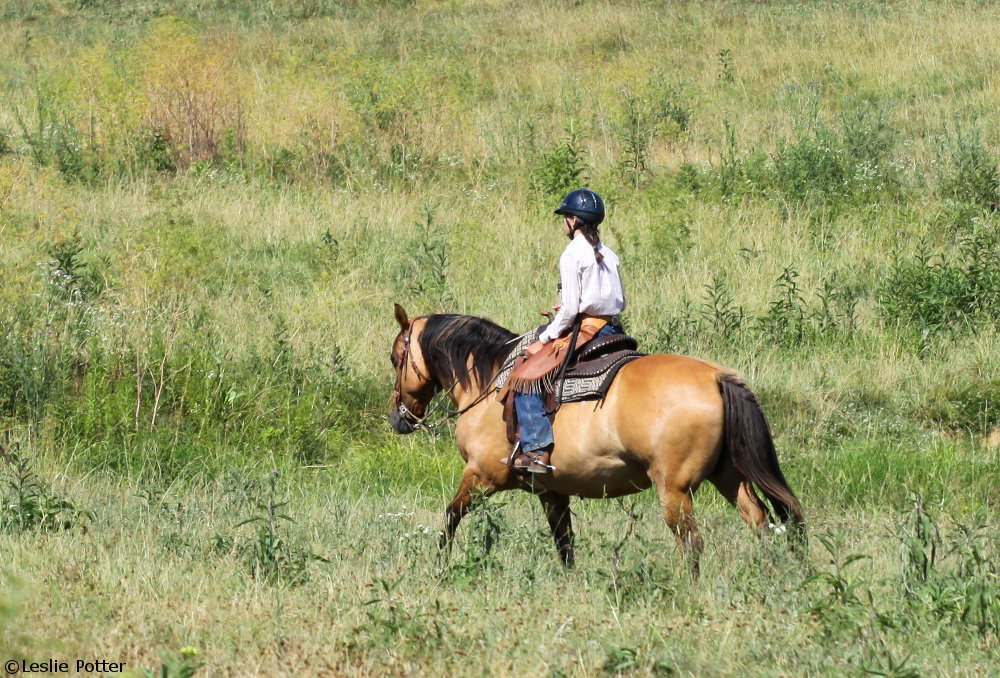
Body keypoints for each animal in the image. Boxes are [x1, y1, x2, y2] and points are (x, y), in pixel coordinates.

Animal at [386, 306, 800, 572]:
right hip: (729, 476)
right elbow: (564, 542)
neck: (490, 382)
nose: (398, 418)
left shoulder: (481, 475)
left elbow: (450, 518)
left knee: (692, 542)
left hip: (675, 489)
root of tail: (717, 377)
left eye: (395, 358)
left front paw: (439, 566)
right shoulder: (552, 490)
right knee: (760, 521)